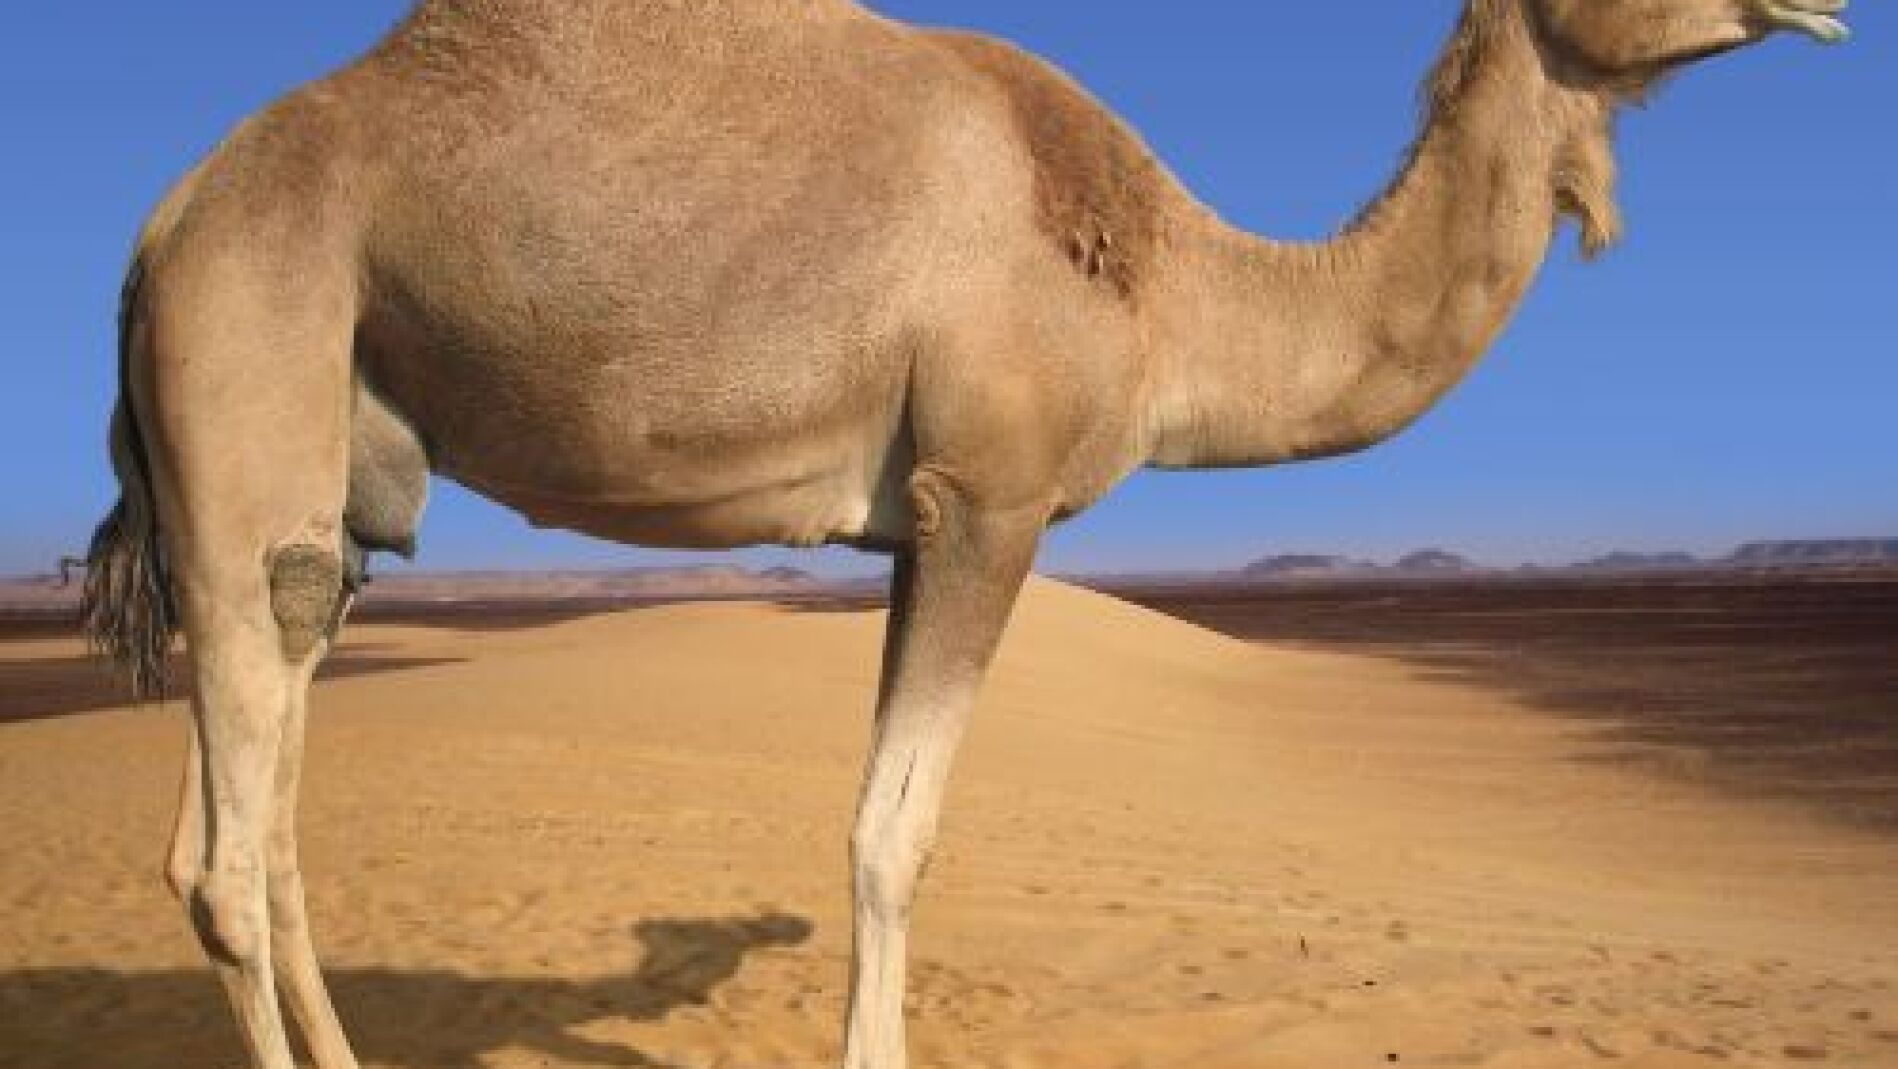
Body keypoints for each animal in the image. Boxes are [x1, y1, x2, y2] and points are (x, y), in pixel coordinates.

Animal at [80, 1, 1847, 1066]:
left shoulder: (912, 528)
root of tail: (163, 222)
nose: (1823, 7)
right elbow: (893, 835)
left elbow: (882, 819)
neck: (1177, 288)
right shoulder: (985, 497)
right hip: (252, 348)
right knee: (224, 854)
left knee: (267, 789)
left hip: (328, 478)